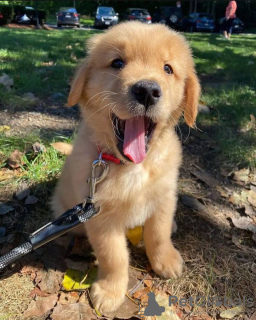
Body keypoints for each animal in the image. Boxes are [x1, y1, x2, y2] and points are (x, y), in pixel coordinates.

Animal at [51, 21, 200, 312]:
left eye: (168, 68)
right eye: (117, 63)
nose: (147, 91)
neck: (132, 167)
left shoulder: (164, 197)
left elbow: (159, 233)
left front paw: (166, 260)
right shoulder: (99, 216)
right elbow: (114, 257)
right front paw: (110, 291)